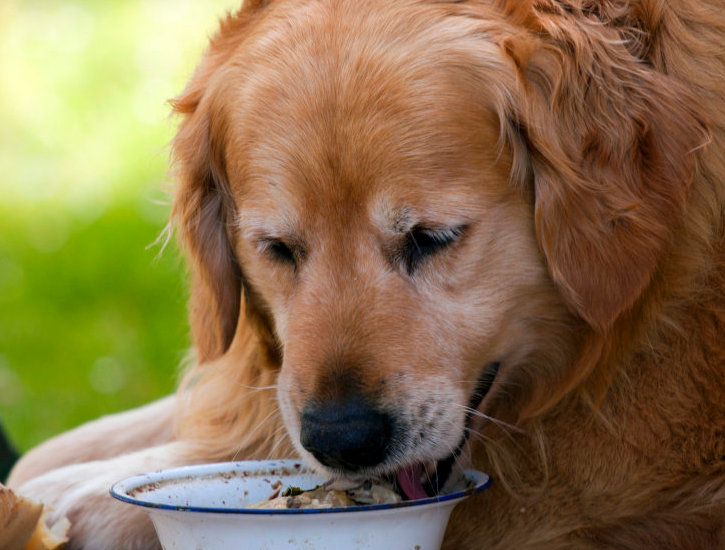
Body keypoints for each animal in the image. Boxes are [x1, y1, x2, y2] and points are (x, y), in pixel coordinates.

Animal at [9, 0, 724, 548]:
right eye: (277, 248)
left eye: (431, 238)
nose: (342, 441)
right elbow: (62, 447)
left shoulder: (580, 490)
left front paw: (57, 505)